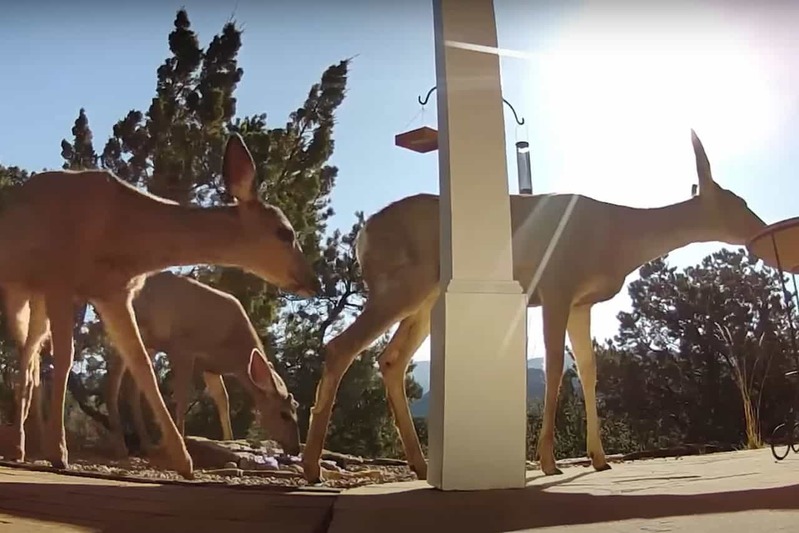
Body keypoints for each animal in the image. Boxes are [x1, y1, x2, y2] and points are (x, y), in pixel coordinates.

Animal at [106, 270, 300, 458]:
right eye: (284, 415)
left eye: (295, 409)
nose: (296, 449)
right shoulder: (183, 349)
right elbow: (182, 397)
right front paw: (180, 440)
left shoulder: (210, 368)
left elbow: (223, 398)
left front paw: (228, 439)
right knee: (114, 378)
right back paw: (121, 446)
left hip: (150, 344)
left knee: (132, 385)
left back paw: (146, 444)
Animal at [300, 130, 768, 482]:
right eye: (740, 203)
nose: (763, 230)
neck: (616, 238)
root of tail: (362, 236)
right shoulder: (556, 286)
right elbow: (557, 366)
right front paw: (548, 461)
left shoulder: (582, 303)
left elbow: (589, 370)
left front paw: (600, 458)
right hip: (403, 285)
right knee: (342, 346)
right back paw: (311, 468)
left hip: (426, 298)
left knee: (390, 359)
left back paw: (417, 464)